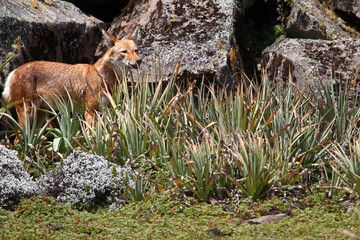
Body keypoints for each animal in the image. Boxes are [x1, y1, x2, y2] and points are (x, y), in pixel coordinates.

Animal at [2, 28, 141, 128]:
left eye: (136, 50)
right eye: (124, 52)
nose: (139, 61)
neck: (102, 76)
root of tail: (14, 71)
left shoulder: (107, 110)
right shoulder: (91, 112)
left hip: (40, 116)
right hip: (28, 113)